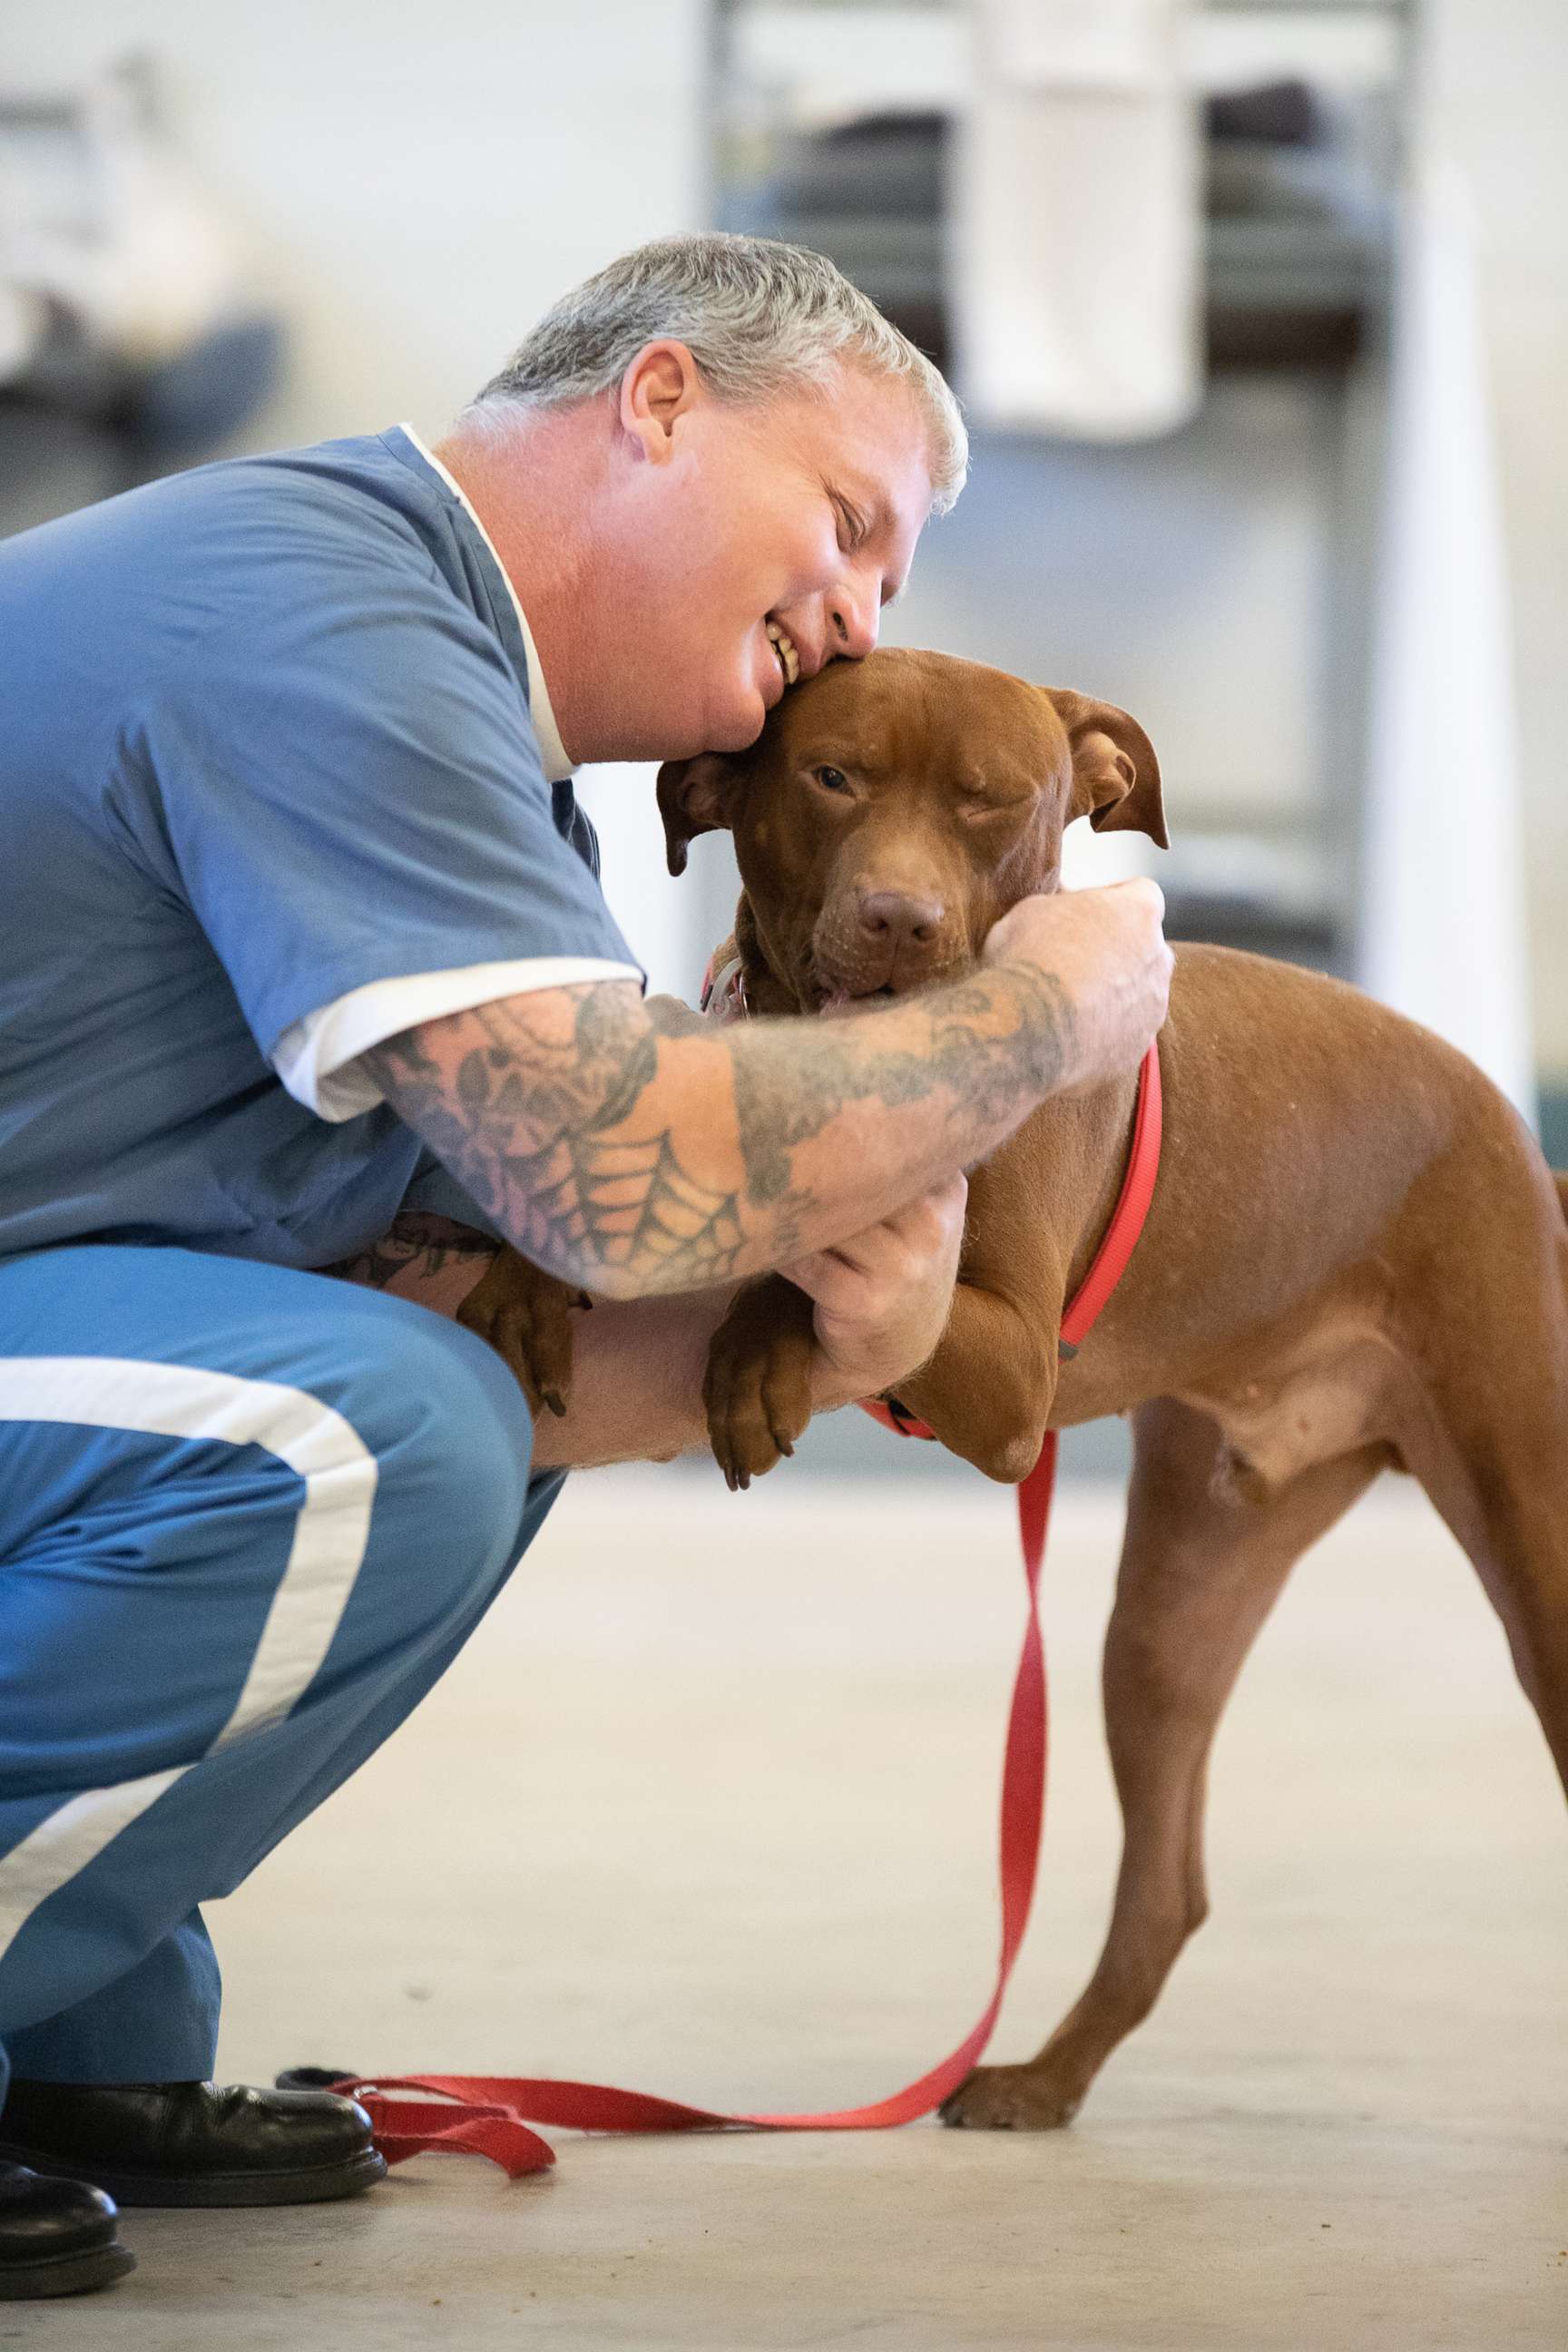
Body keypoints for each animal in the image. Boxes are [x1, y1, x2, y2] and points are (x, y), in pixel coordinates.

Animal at [465, 644, 1568, 2135]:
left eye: (992, 802)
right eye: (832, 775)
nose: (899, 919)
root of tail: (1525, 1149)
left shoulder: (1010, 1375)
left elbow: (831, 1271)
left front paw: (757, 1341)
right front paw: (526, 1271)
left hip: (1532, 1535)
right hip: (1172, 1604)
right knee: (1167, 1888)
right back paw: (1042, 2081)